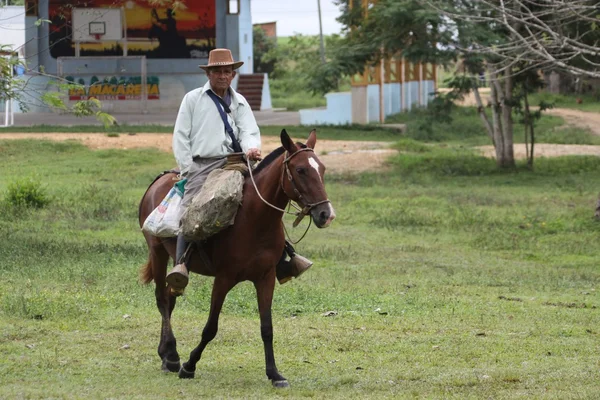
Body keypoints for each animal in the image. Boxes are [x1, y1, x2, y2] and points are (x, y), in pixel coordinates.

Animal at [139, 130, 338, 386]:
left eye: (321, 168)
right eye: (301, 170)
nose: (326, 214)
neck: (254, 219)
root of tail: (159, 180)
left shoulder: (266, 278)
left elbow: (267, 327)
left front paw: (274, 373)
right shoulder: (223, 279)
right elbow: (210, 327)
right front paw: (189, 365)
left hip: (177, 260)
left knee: (171, 294)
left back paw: (166, 353)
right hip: (157, 252)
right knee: (162, 299)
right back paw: (172, 356)